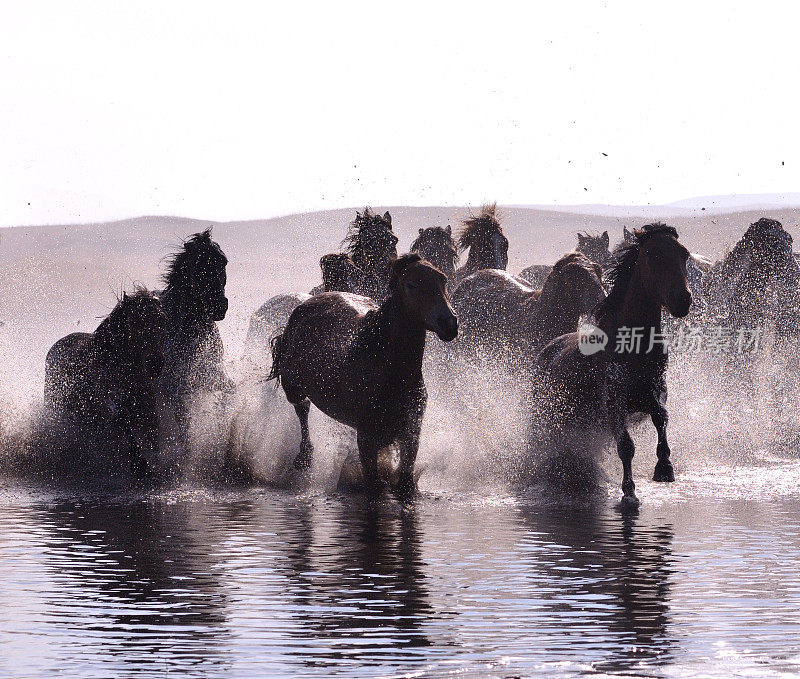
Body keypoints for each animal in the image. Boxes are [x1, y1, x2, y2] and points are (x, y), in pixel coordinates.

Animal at [157, 228, 230, 430]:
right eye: (197, 263)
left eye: (223, 261)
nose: (219, 306)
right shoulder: (175, 390)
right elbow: (185, 426)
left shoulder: (215, 377)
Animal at [268, 254, 456, 494]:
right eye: (411, 285)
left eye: (443, 279)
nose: (449, 323)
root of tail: (305, 304)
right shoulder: (366, 436)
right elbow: (373, 482)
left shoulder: (411, 431)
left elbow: (405, 481)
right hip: (293, 387)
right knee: (302, 410)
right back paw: (304, 457)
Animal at [536, 226, 692, 508]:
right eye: (652, 255)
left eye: (683, 253)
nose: (682, 300)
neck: (635, 348)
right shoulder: (614, 402)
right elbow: (626, 446)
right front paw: (629, 493)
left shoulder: (656, 391)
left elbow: (661, 417)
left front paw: (664, 468)